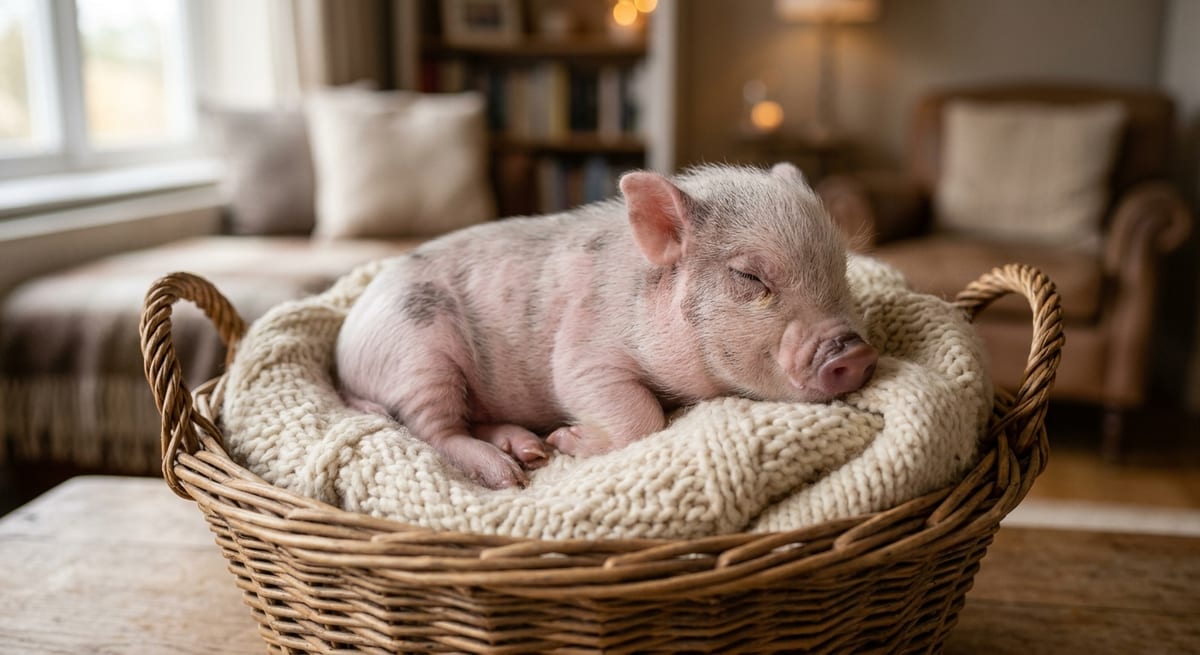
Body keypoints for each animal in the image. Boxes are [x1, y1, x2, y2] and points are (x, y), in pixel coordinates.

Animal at [336, 163, 878, 489]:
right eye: (749, 276)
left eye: (842, 270)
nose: (855, 352)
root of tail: (344, 349)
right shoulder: (583, 354)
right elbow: (641, 416)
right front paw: (566, 441)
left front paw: (554, 444)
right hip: (418, 352)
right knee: (432, 429)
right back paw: (512, 473)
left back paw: (528, 450)